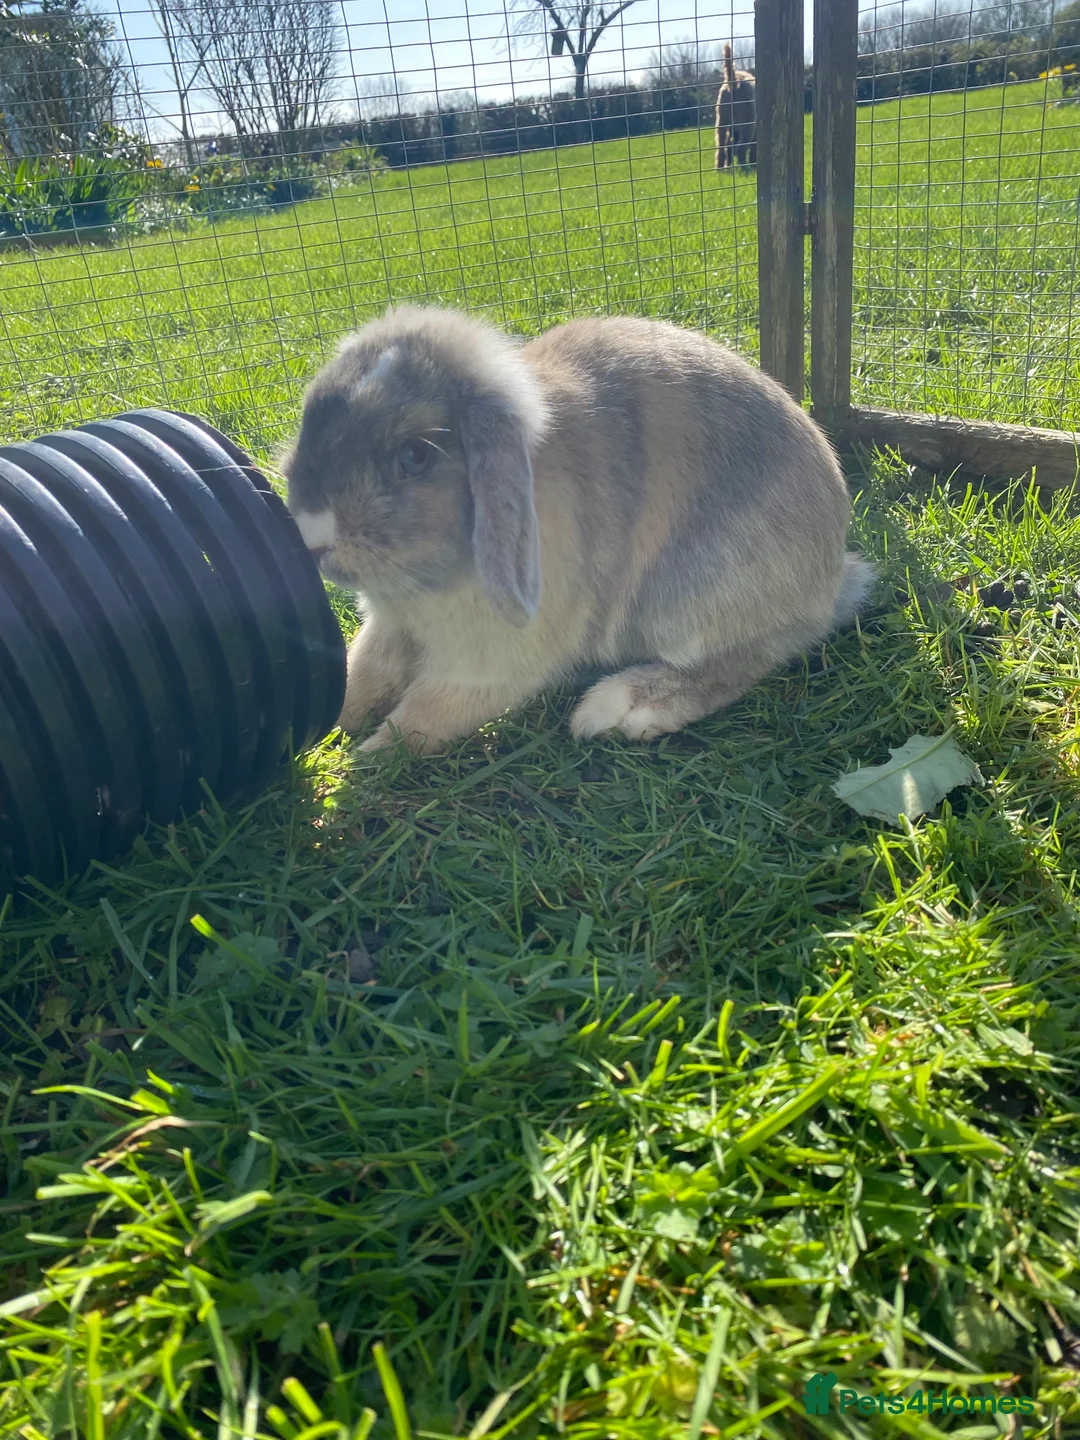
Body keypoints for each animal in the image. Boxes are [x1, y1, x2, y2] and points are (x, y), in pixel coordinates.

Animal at [282, 305, 873, 755]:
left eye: (415, 456)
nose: (311, 537)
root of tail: (831, 580)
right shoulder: (389, 627)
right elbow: (364, 673)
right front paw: (335, 724)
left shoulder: (483, 664)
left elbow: (428, 714)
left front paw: (371, 755)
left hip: (695, 601)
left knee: (738, 665)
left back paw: (617, 710)